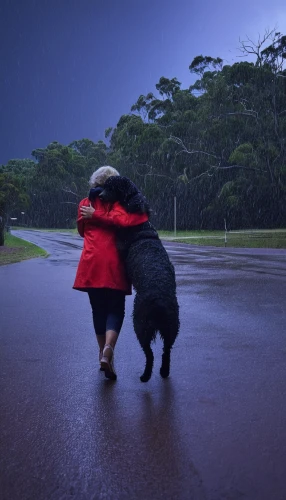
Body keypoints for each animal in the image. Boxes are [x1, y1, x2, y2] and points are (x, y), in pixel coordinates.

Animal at [98, 177, 179, 382]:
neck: (140, 225)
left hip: (140, 324)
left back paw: (146, 375)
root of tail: (159, 301)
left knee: (149, 354)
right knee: (166, 352)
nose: (100, 195)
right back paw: (164, 372)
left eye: (111, 187)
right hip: (172, 327)